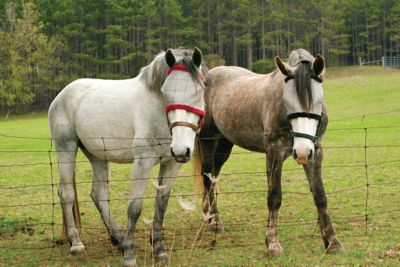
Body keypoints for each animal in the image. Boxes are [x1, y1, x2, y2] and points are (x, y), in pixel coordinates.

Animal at [47, 47, 206, 266]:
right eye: (165, 92)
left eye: (198, 91)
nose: (181, 149)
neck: (158, 114)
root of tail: (62, 95)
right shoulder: (143, 162)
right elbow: (135, 207)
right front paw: (130, 254)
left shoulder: (172, 163)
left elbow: (161, 204)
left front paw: (159, 249)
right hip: (66, 147)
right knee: (66, 193)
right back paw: (77, 243)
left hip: (97, 155)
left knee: (99, 195)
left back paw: (118, 239)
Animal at [192, 49, 342, 256]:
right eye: (286, 102)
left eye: (319, 101)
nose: (302, 152)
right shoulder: (274, 153)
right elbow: (274, 196)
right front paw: (272, 243)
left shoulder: (315, 153)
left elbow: (320, 195)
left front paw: (332, 241)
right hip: (207, 139)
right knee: (207, 178)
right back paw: (214, 221)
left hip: (224, 144)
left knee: (213, 177)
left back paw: (208, 216)